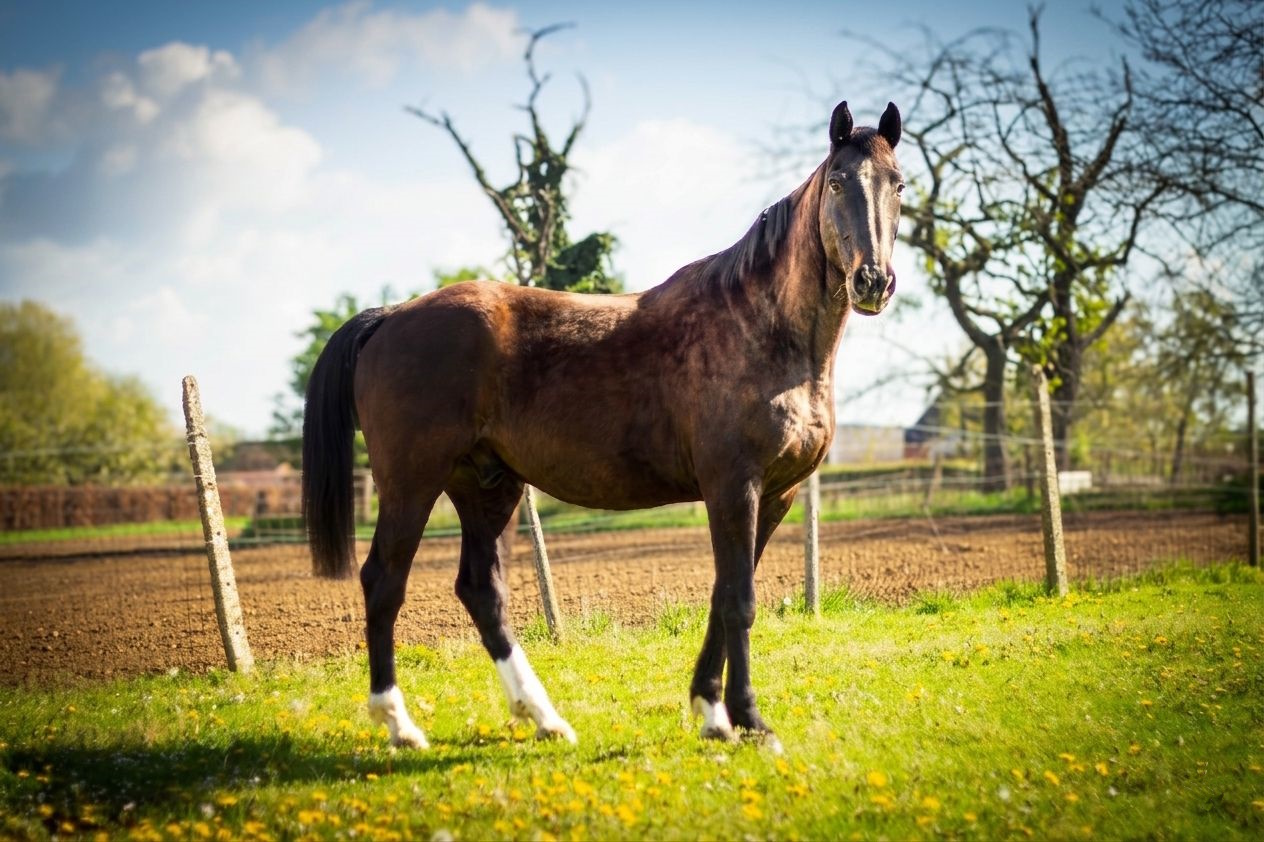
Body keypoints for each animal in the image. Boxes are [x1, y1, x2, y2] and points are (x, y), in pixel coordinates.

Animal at [302, 100, 903, 750]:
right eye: (838, 182)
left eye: (898, 185)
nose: (873, 281)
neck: (761, 329)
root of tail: (389, 317)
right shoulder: (733, 486)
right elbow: (740, 602)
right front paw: (750, 720)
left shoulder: (776, 495)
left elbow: (722, 596)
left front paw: (710, 712)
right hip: (412, 484)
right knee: (384, 582)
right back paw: (400, 725)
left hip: (487, 487)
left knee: (481, 590)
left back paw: (544, 718)